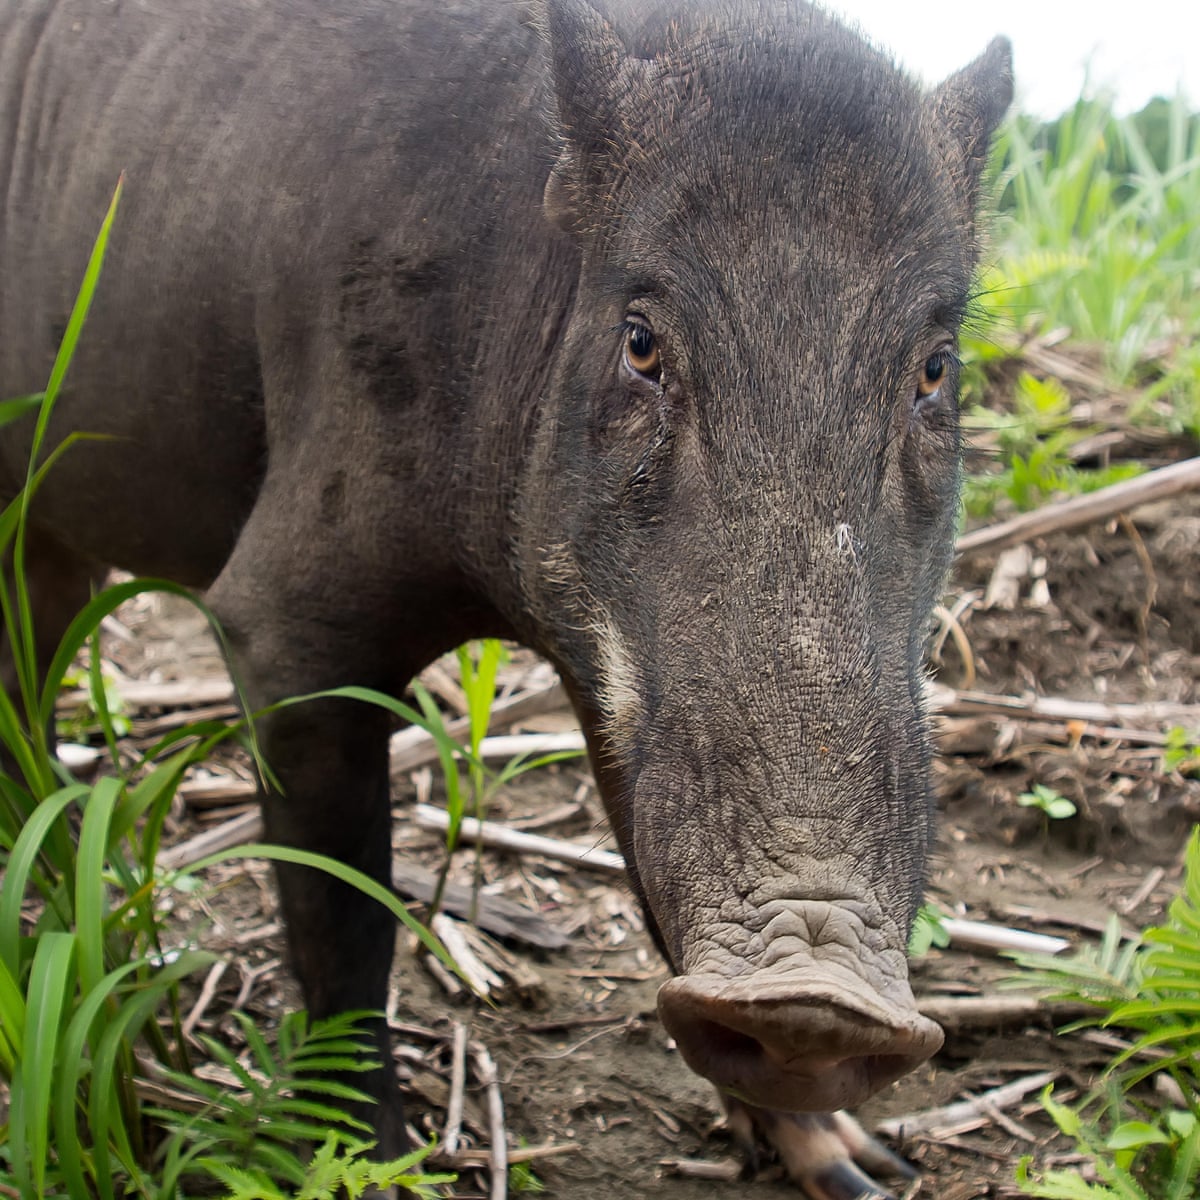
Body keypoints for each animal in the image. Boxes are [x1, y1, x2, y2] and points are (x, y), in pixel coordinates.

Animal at [0, 0, 1011, 1194]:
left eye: (935, 367)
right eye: (641, 341)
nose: (816, 1003)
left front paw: (862, 1165)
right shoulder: (282, 618)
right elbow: (346, 915)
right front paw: (377, 1160)